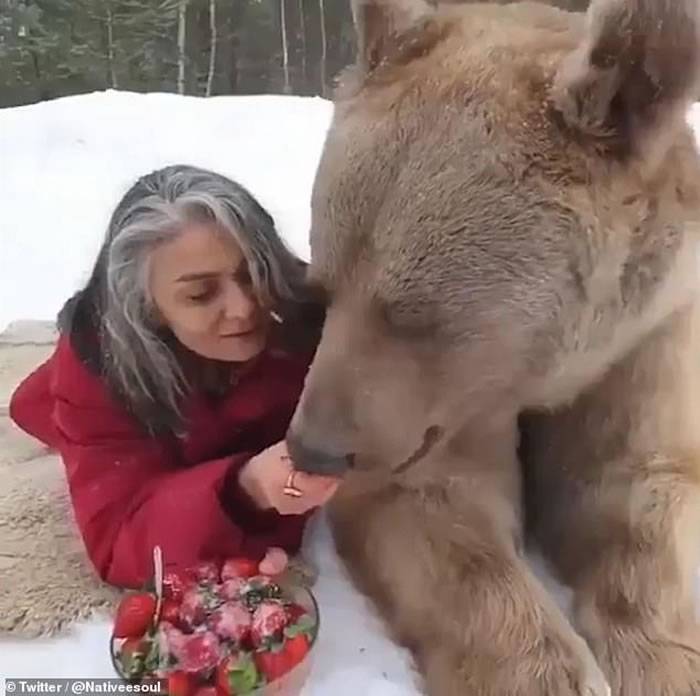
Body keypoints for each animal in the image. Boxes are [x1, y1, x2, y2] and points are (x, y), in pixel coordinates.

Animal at [284, 1, 700, 696]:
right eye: (323, 289)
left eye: (412, 314)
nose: (313, 448)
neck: (538, 373)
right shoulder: (447, 410)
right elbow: (444, 514)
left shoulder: (647, 338)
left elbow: (638, 488)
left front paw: (663, 663)